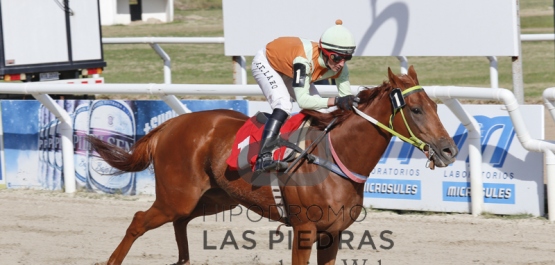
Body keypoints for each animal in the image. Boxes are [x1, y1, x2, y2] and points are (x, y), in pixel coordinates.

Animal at [89, 65, 458, 262]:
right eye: (416, 109)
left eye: (436, 106)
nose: (450, 150)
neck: (335, 157)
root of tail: (170, 125)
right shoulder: (306, 229)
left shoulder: (333, 233)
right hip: (176, 196)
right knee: (139, 221)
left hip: (213, 197)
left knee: (181, 222)